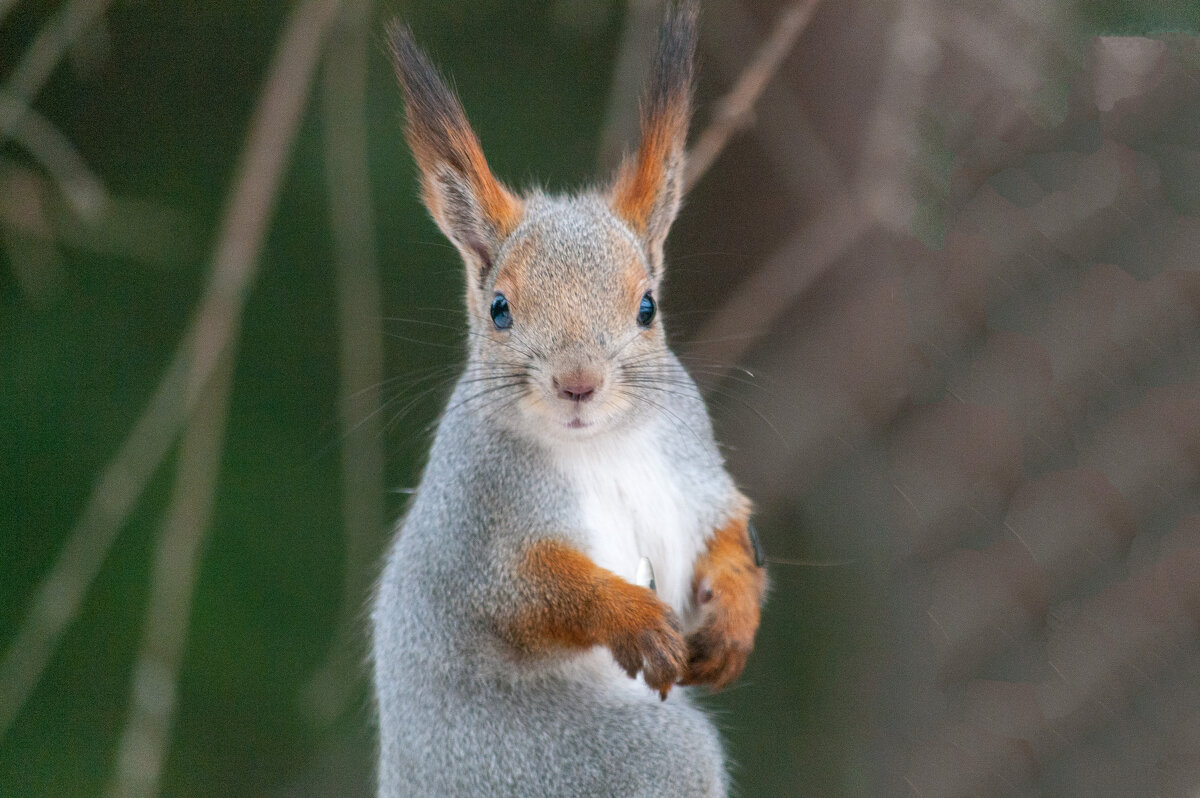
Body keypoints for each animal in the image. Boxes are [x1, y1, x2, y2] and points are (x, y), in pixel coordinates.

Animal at [372, 3, 768, 792]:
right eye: (499, 309)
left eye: (648, 307)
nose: (577, 383)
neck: (599, 443)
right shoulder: (477, 520)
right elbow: (526, 591)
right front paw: (628, 614)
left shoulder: (691, 458)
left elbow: (723, 529)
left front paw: (735, 611)